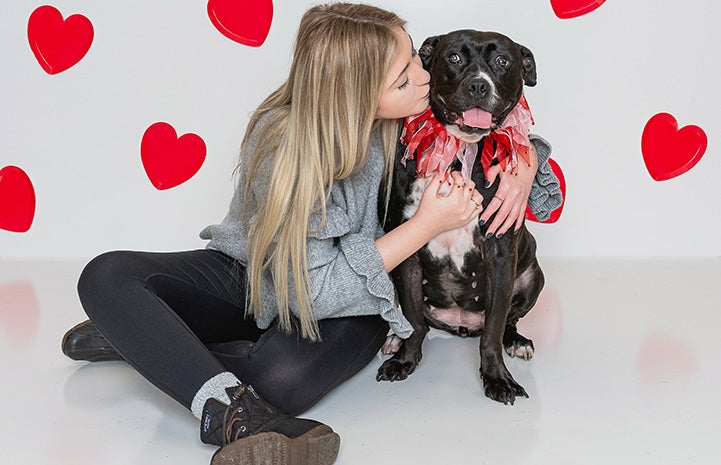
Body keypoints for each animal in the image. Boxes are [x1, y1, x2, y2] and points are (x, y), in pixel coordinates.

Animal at [380, 30, 544, 404]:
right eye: (454, 57)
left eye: (503, 61)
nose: (478, 85)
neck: (458, 151)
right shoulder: (407, 252)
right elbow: (414, 319)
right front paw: (406, 359)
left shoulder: (500, 254)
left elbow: (493, 329)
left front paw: (497, 378)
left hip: (533, 277)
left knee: (508, 320)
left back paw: (517, 340)